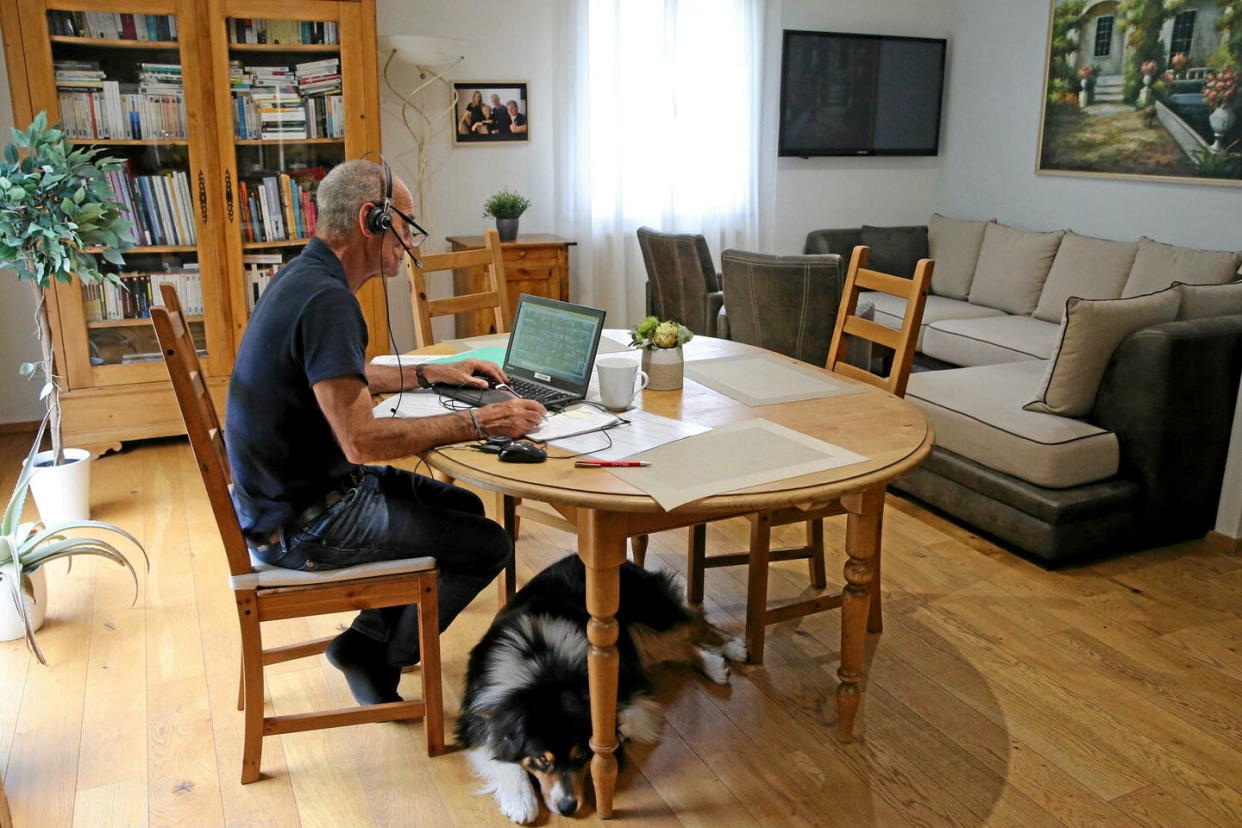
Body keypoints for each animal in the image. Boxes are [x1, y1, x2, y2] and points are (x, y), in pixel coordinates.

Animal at [459, 556, 740, 824]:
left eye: (580, 755)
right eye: (542, 759)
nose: (568, 808)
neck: (543, 668)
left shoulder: (626, 688)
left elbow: (628, 720)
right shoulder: (479, 715)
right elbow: (498, 749)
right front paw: (521, 801)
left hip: (646, 620)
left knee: (694, 624)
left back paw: (734, 648)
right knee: (679, 645)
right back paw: (714, 664)